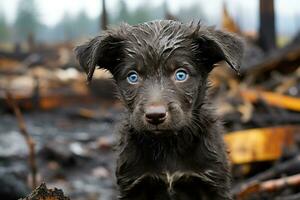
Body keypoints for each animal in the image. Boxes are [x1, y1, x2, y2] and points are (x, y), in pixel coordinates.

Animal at [75, 19, 244, 199]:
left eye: (181, 75)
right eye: (132, 77)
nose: (155, 116)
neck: (168, 145)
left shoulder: (213, 182)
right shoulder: (133, 184)